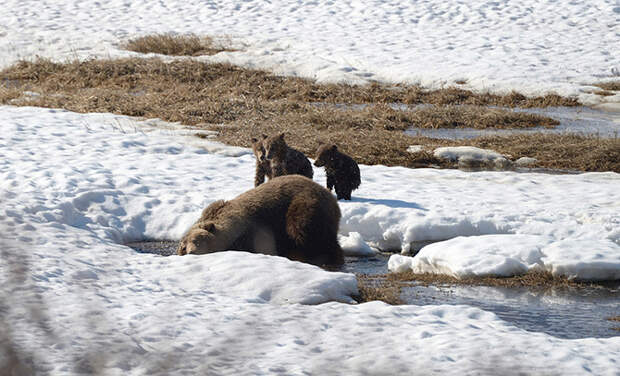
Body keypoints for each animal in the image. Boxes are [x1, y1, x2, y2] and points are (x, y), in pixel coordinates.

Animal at [177, 176, 346, 268]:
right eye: (183, 247)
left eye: (197, 240)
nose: (191, 252)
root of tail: (332, 199)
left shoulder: (256, 228)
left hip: (305, 207)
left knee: (305, 232)